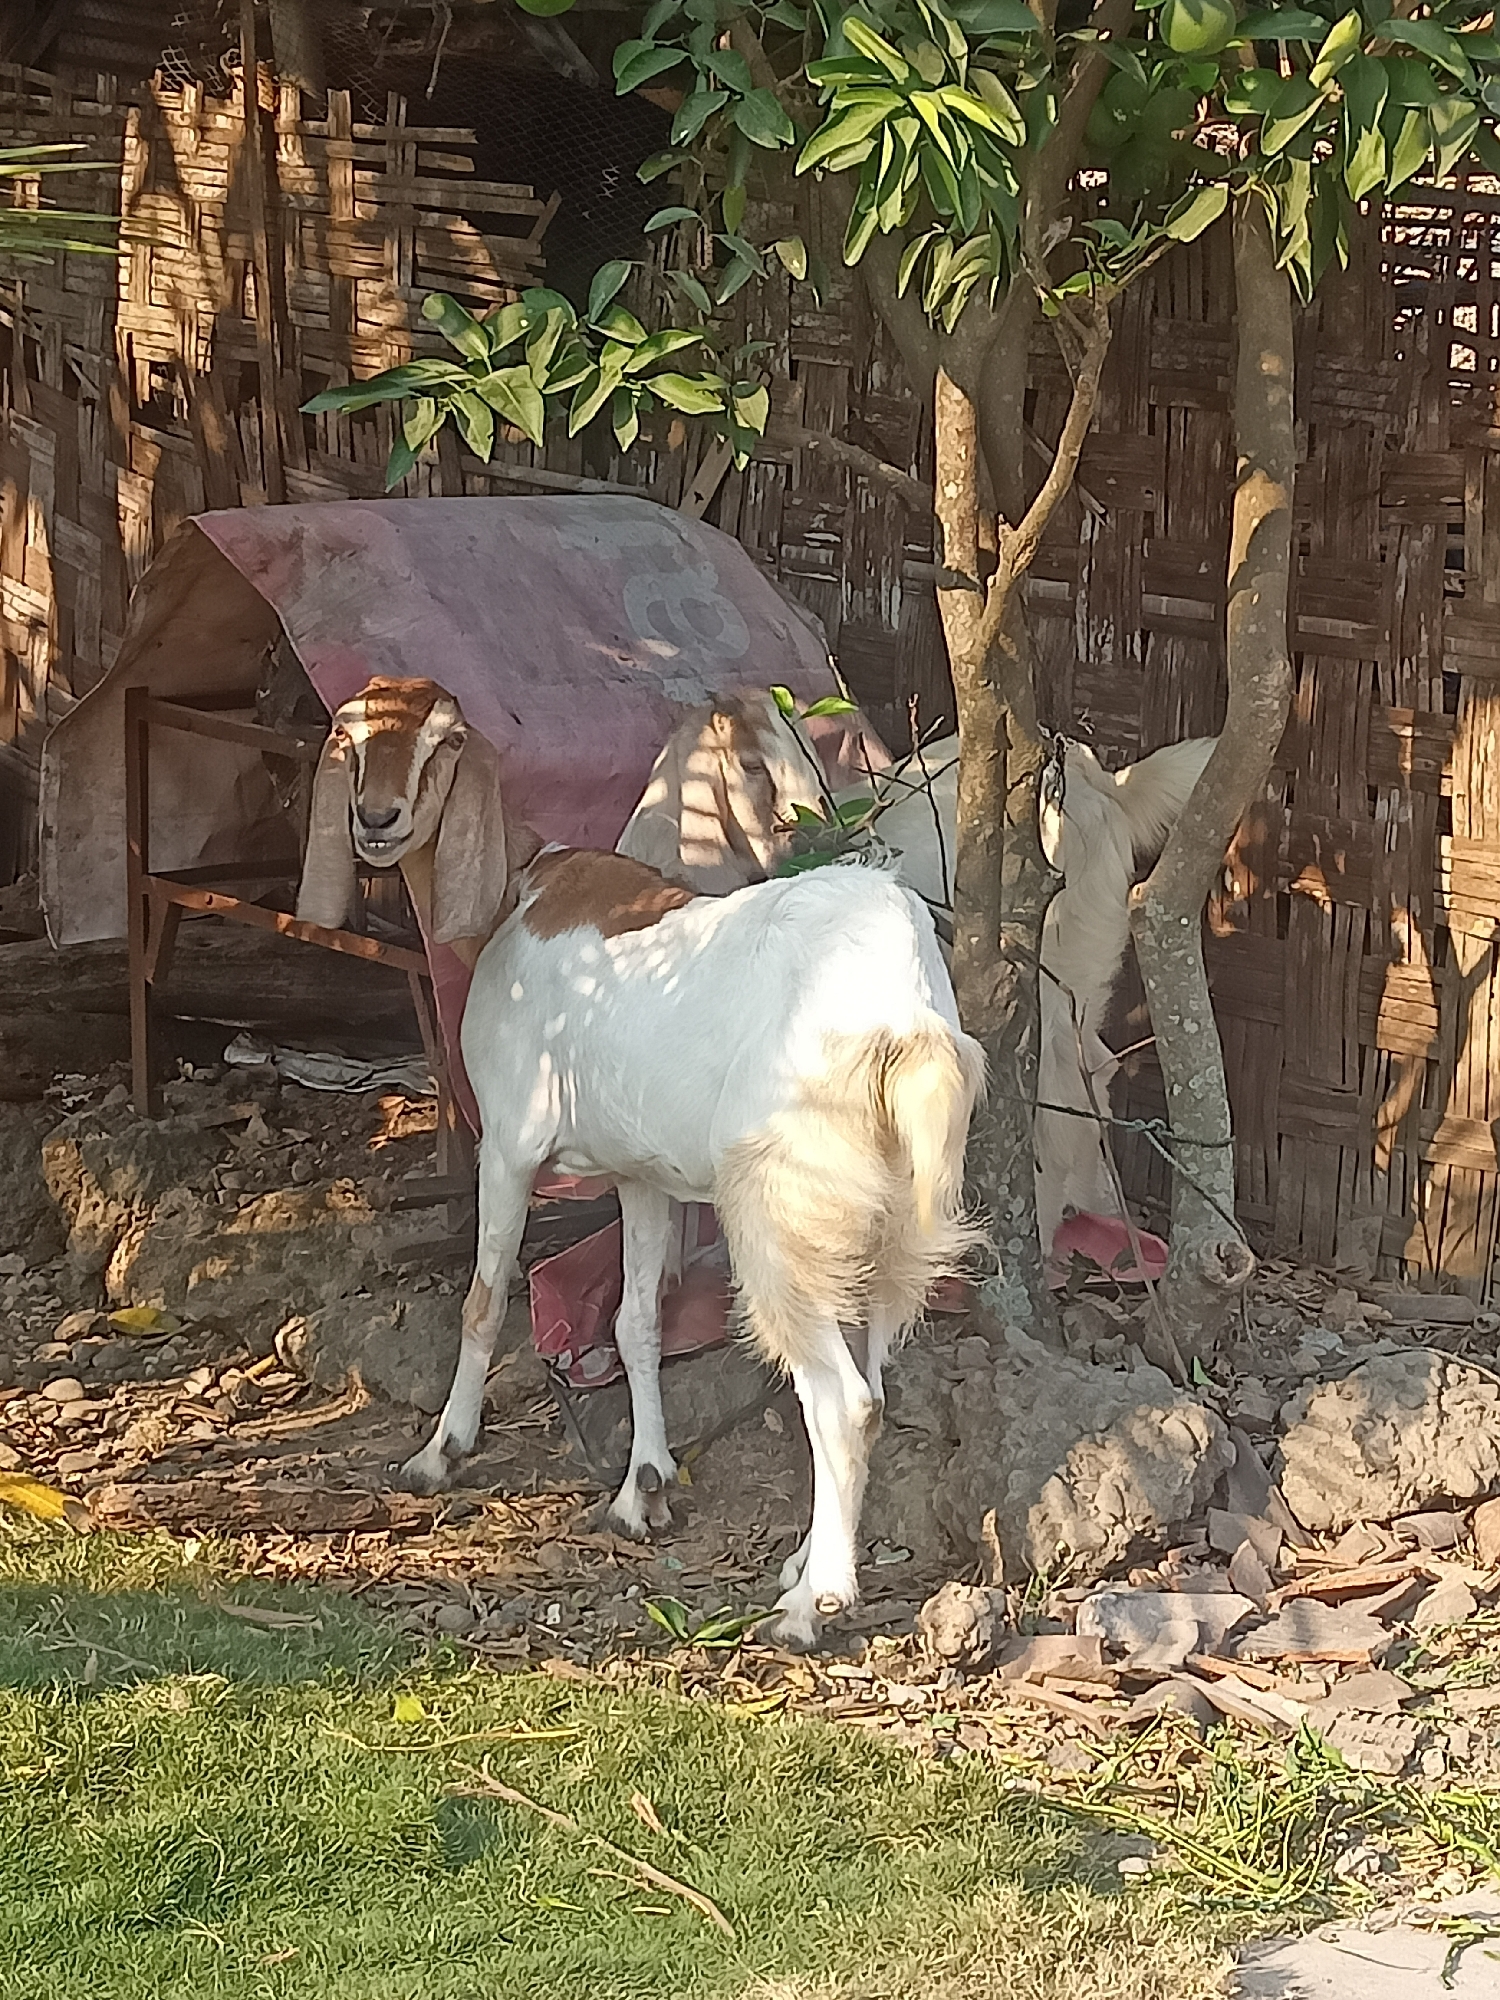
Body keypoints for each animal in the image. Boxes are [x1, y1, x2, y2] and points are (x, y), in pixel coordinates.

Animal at [296, 676, 983, 1649]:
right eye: (349, 736)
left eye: (444, 742)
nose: (378, 819)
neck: (515, 900)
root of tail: (903, 1021)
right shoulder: (641, 1175)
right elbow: (634, 1324)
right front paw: (641, 1489)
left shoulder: (510, 1142)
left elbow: (484, 1299)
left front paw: (440, 1452)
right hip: (880, 1227)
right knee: (872, 1383)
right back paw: (802, 1567)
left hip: (782, 1214)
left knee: (840, 1400)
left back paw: (811, 1608)